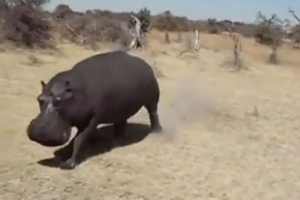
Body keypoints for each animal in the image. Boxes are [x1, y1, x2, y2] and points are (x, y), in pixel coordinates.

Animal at [27, 50, 163, 170]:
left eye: (59, 101)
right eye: (39, 99)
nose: (39, 134)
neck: (75, 91)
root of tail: (146, 64)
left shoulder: (92, 120)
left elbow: (79, 139)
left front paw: (68, 164)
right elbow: (72, 142)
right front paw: (61, 157)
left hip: (152, 99)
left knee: (153, 113)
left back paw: (156, 132)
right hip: (122, 109)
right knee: (121, 123)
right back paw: (116, 142)